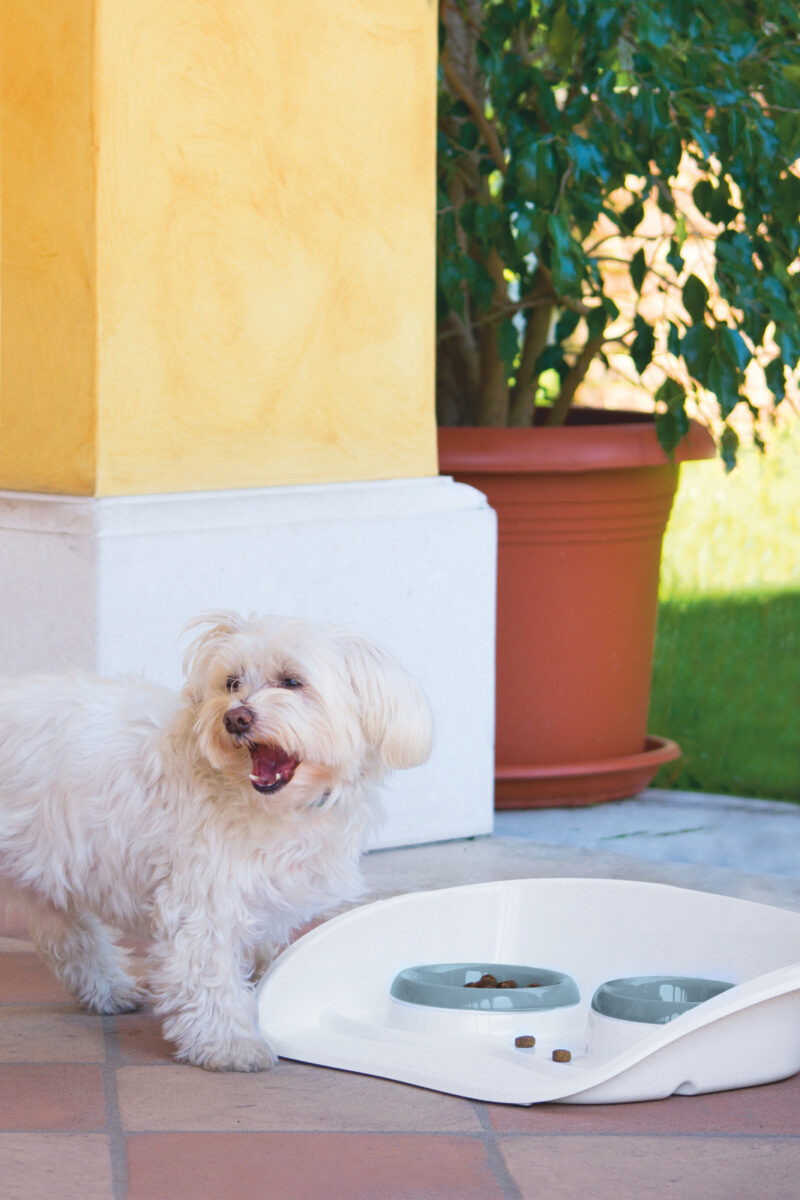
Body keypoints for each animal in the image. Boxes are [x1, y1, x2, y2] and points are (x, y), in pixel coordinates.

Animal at [0, 614, 431, 1075]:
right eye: (232, 682)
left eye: (292, 681)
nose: (236, 717)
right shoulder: (203, 900)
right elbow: (208, 974)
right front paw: (230, 1044)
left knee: (65, 935)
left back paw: (109, 989)